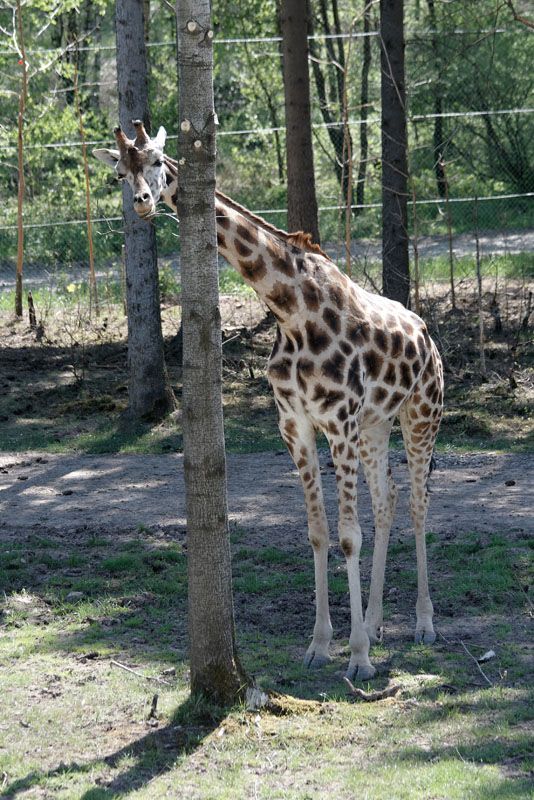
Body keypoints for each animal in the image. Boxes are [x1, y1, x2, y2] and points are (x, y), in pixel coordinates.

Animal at [95, 122, 444, 680]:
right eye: (119, 174)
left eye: (156, 161)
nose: (144, 203)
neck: (289, 311)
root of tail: (428, 335)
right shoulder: (296, 425)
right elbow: (319, 533)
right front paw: (323, 645)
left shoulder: (338, 422)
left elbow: (348, 534)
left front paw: (358, 658)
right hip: (376, 425)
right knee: (388, 499)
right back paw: (375, 622)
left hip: (421, 416)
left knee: (418, 503)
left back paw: (423, 623)